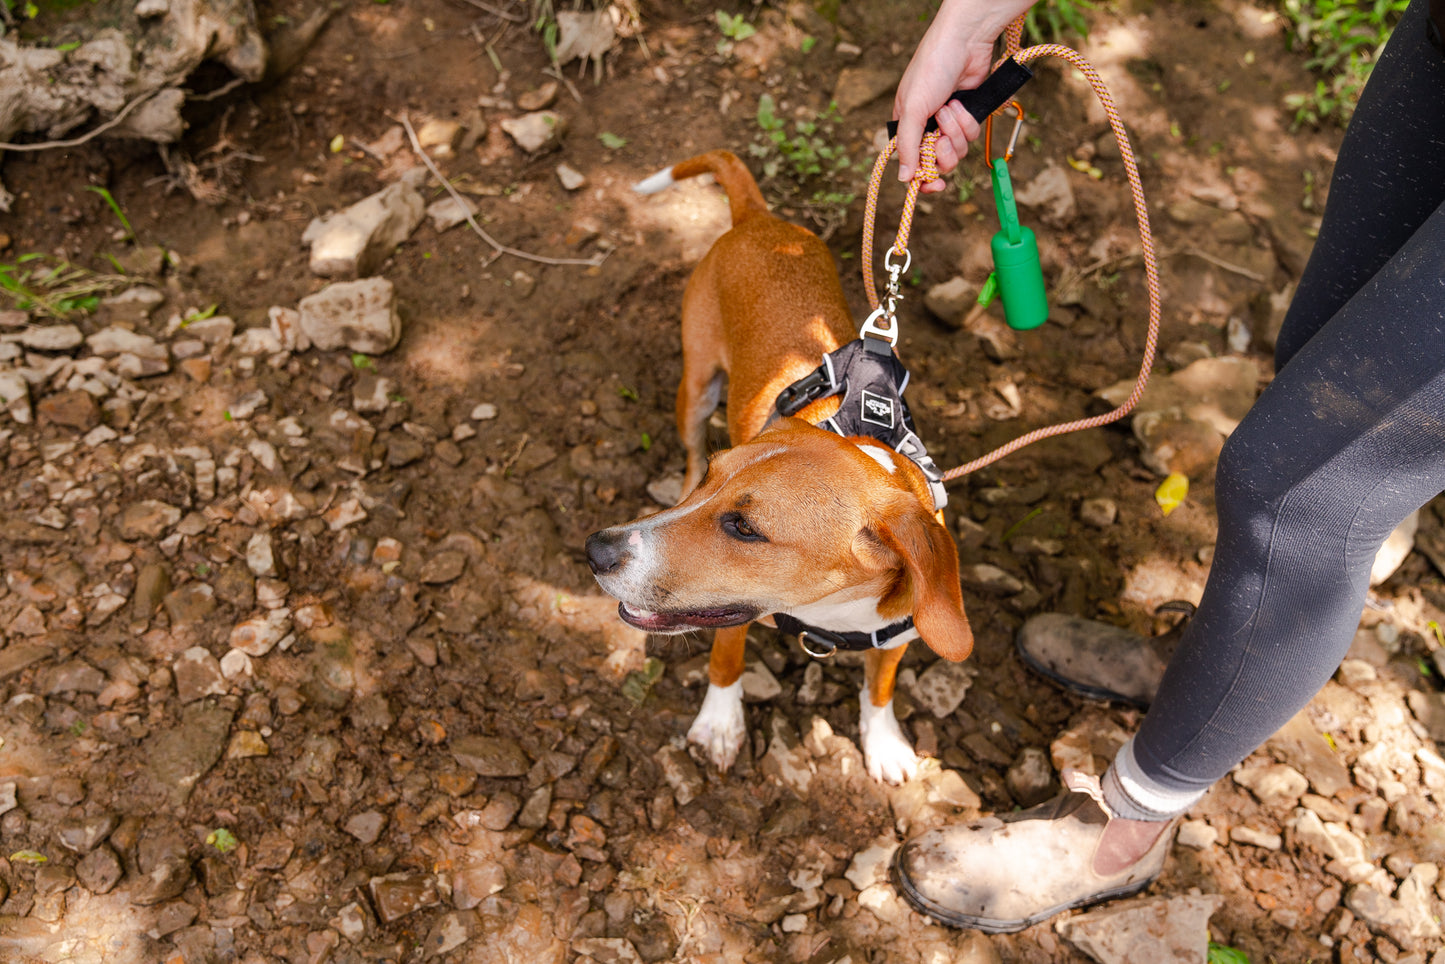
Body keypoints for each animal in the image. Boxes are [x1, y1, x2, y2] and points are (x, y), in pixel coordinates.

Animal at [583, 151, 971, 786]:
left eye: (745, 528)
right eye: (715, 477)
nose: (596, 549)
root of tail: (758, 219)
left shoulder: (902, 633)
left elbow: (880, 689)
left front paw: (885, 743)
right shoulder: (731, 621)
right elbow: (726, 662)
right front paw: (719, 725)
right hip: (696, 388)